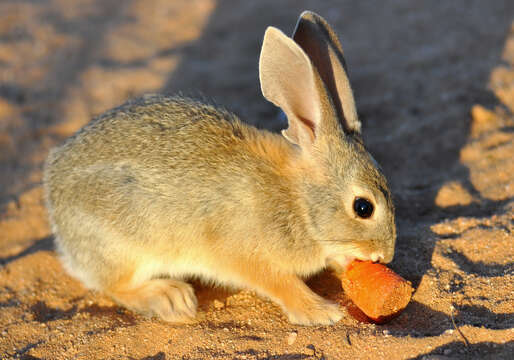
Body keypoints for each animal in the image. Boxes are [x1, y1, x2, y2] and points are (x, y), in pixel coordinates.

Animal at [44, 11, 396, 326]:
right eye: (363, 207)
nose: (386, 256)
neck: (298, 201)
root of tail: (55, 205)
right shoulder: (246, 254)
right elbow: (281, 283)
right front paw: (321, 312)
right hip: (127, 247)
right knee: (115, 286)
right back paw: (171, 298)